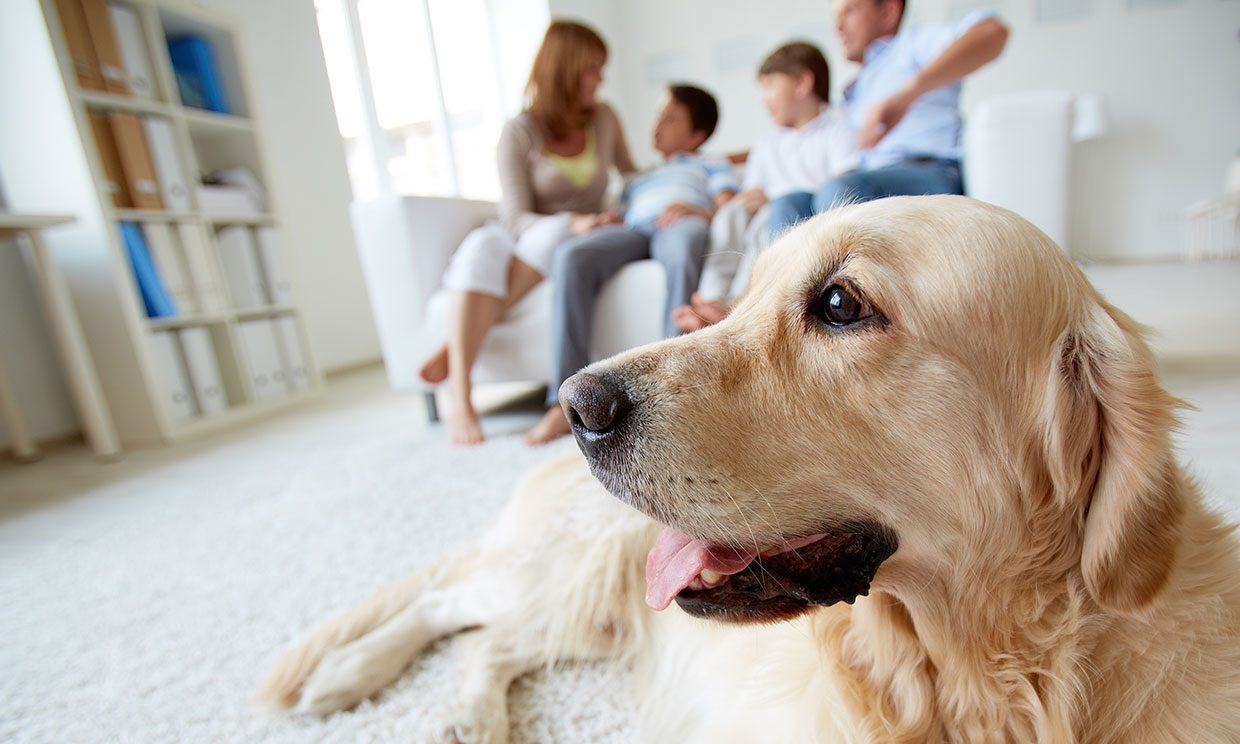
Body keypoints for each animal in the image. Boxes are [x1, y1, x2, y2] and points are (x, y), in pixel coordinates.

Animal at [254, 197, 1240, 744]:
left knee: (487, 639)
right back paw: (351, 676)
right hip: (577, 574)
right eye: (742, 296)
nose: (575, 405)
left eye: (840, 303)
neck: (972, 676)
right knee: (449, 606)